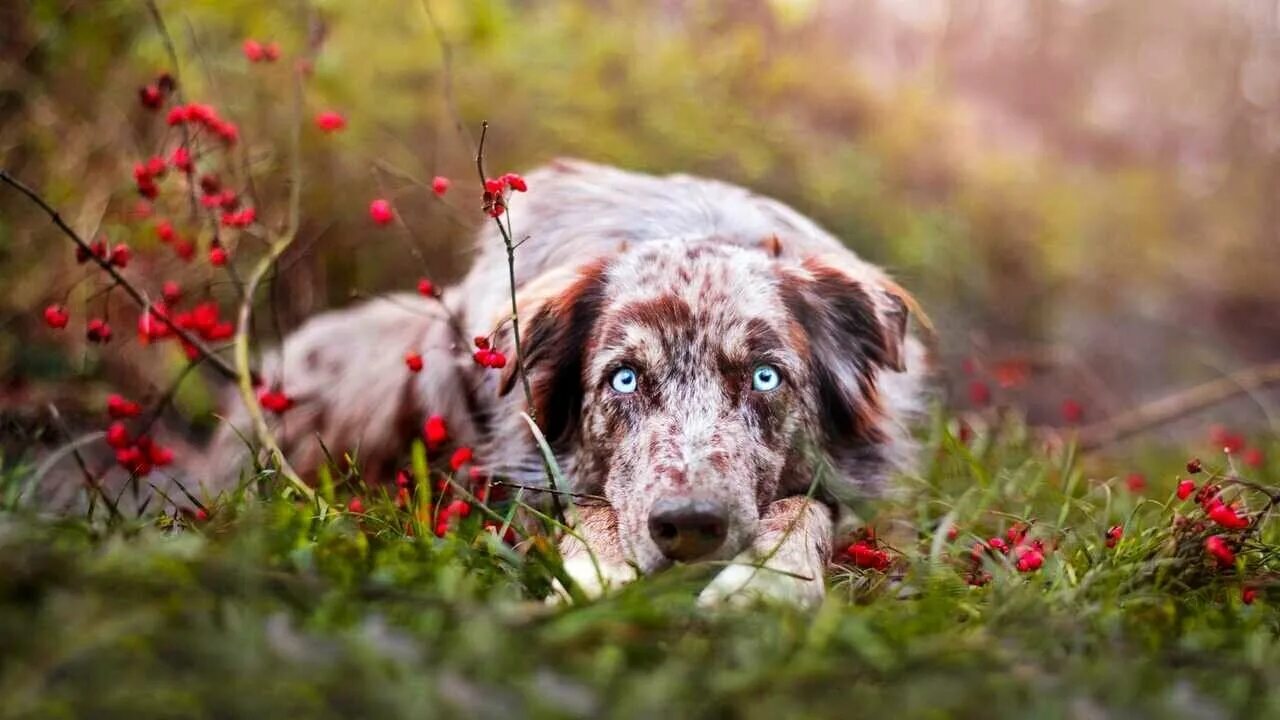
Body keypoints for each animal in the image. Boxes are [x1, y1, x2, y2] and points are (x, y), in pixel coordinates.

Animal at [199, 159, 926, 602]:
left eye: (766, 376)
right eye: (624, 380)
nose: (691, 527)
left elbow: (803, 507)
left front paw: (761, 586)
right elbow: (590, 506)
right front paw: (596, 576)